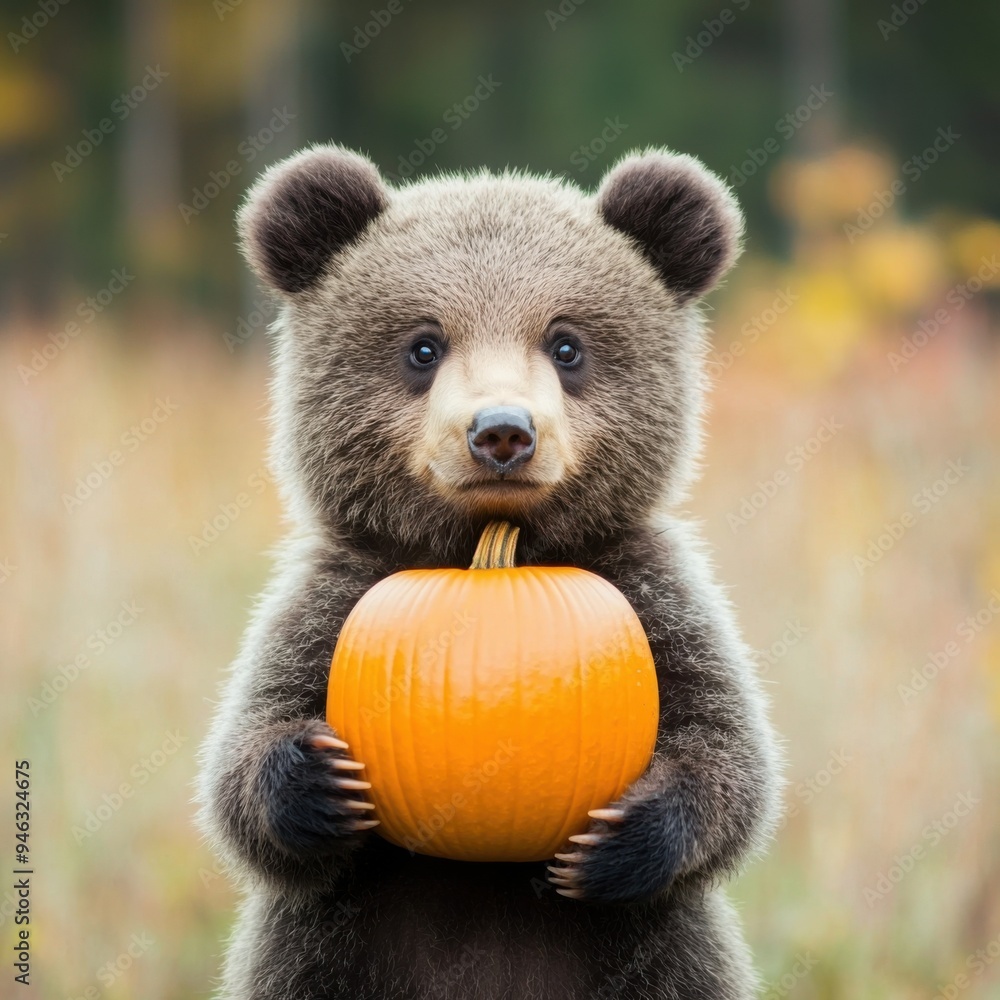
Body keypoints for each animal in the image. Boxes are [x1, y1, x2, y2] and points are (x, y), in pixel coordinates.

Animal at [196, 143, 780, 1000]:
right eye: (423, 346)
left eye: (566, 345)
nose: (502, 432)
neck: (489, 550)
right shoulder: (329, 597)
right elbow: (241, 761)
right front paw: (315, 779)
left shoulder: (654, 589)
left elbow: (729, 753)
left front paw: (620, 840)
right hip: (329, 952)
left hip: (656, 954)